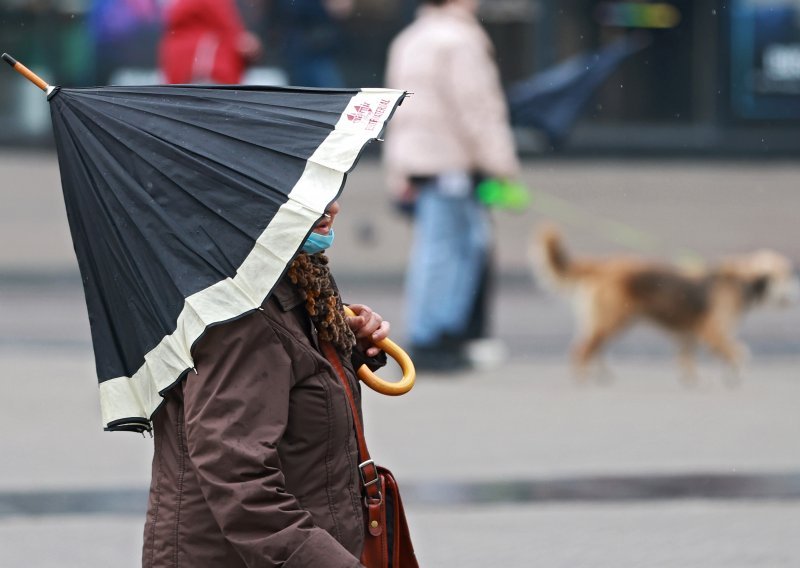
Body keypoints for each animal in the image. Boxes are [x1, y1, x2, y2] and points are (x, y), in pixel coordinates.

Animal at [532, 223, 800, 382]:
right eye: (785, 275)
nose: (793, 297)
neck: (740, 280)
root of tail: (604, 265)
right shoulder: (711, 331)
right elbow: (739, 352)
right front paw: (735, 374)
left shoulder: (691, 333)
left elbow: (688, 356)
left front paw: (693, 379)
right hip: (612, 320)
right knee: (582, 350)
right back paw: (584, 376)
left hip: (609, 322)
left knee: (592, 348)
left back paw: (601, 374)